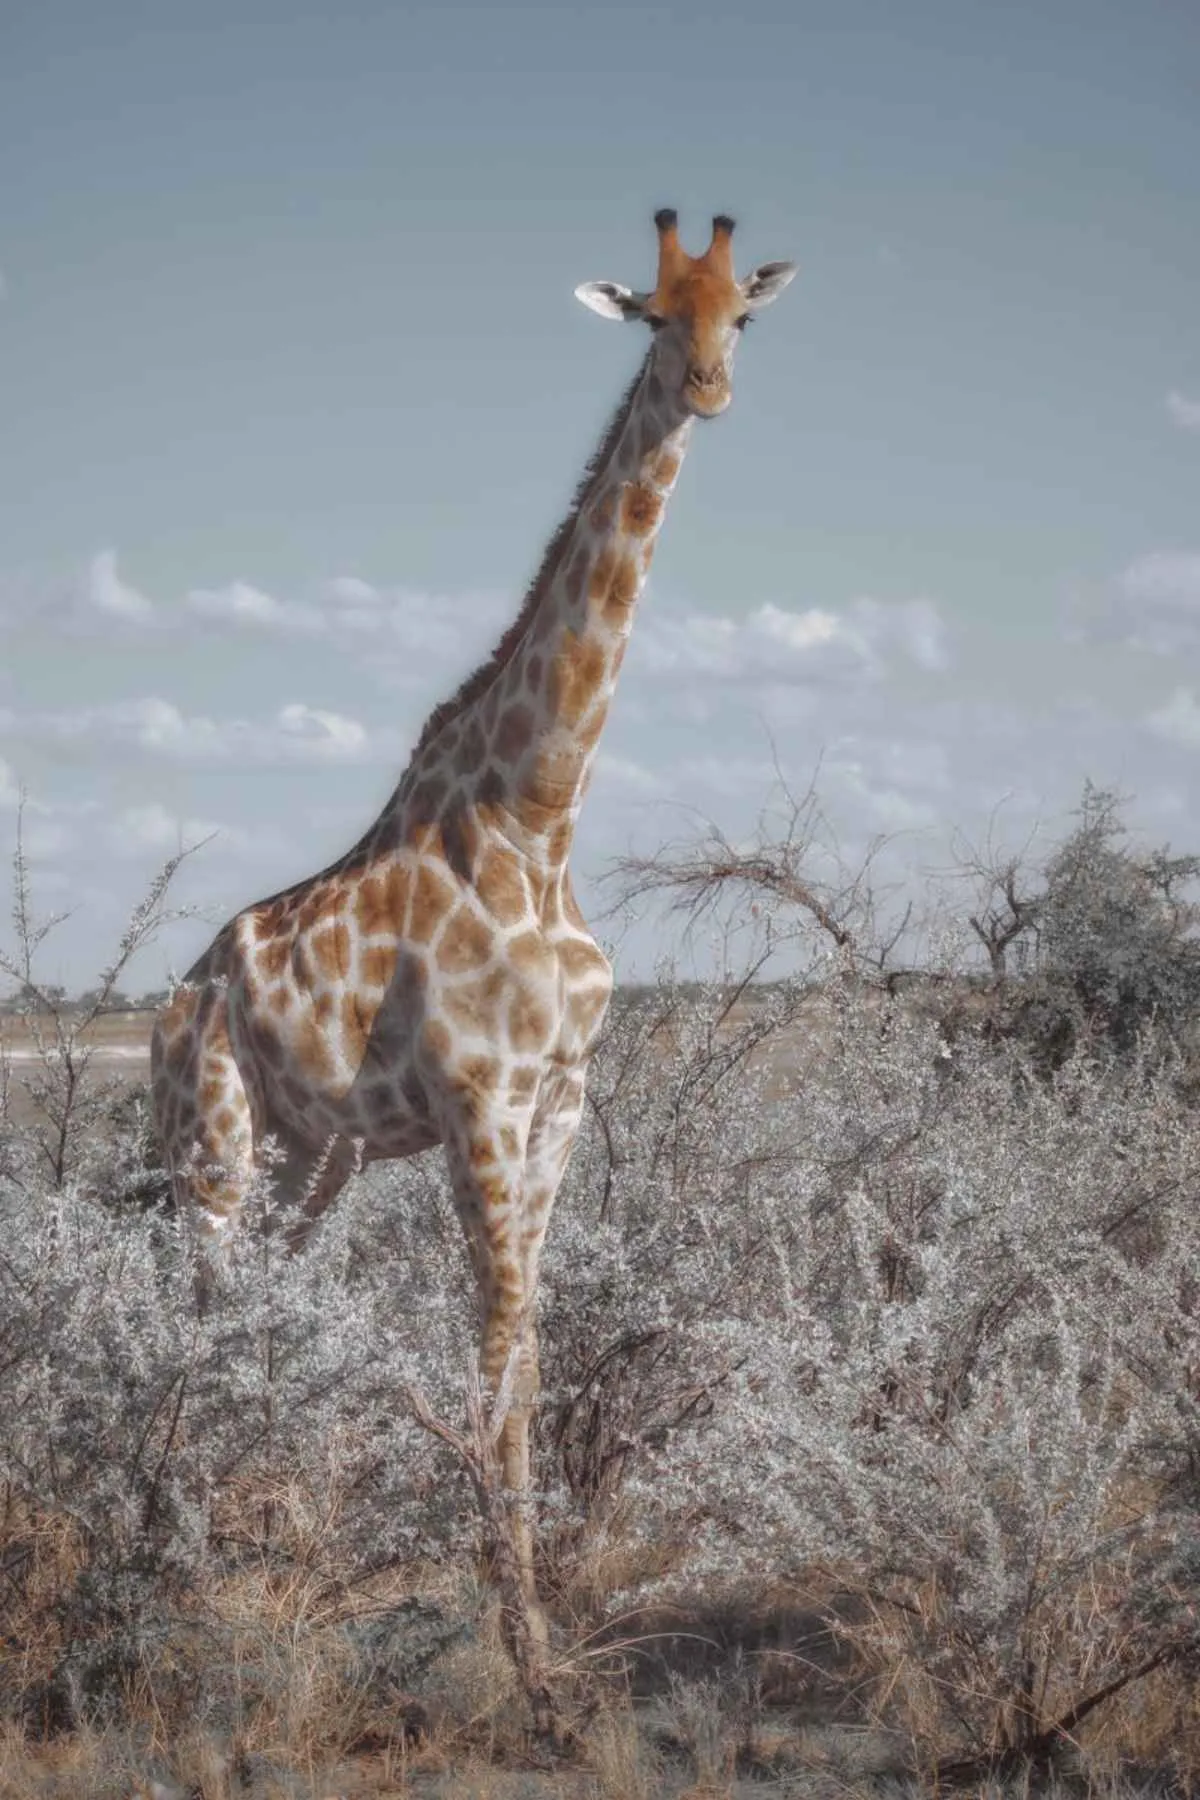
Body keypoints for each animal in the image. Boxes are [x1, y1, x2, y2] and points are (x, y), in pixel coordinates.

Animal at [151, 208, 796, 1631]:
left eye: (742, 313)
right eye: (653, 317)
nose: (711, 389)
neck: (536, 821)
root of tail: (172, 1006)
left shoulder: (557, 1102)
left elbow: (531, 1358)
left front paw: (531, 1613)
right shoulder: (477, 1104)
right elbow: (493, 1354)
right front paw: (524, 1635)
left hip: (310, 1160)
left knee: (264, 1307)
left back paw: (258, 1531)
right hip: (210, 1143)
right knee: (192, 1314)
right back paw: (181, 1544)